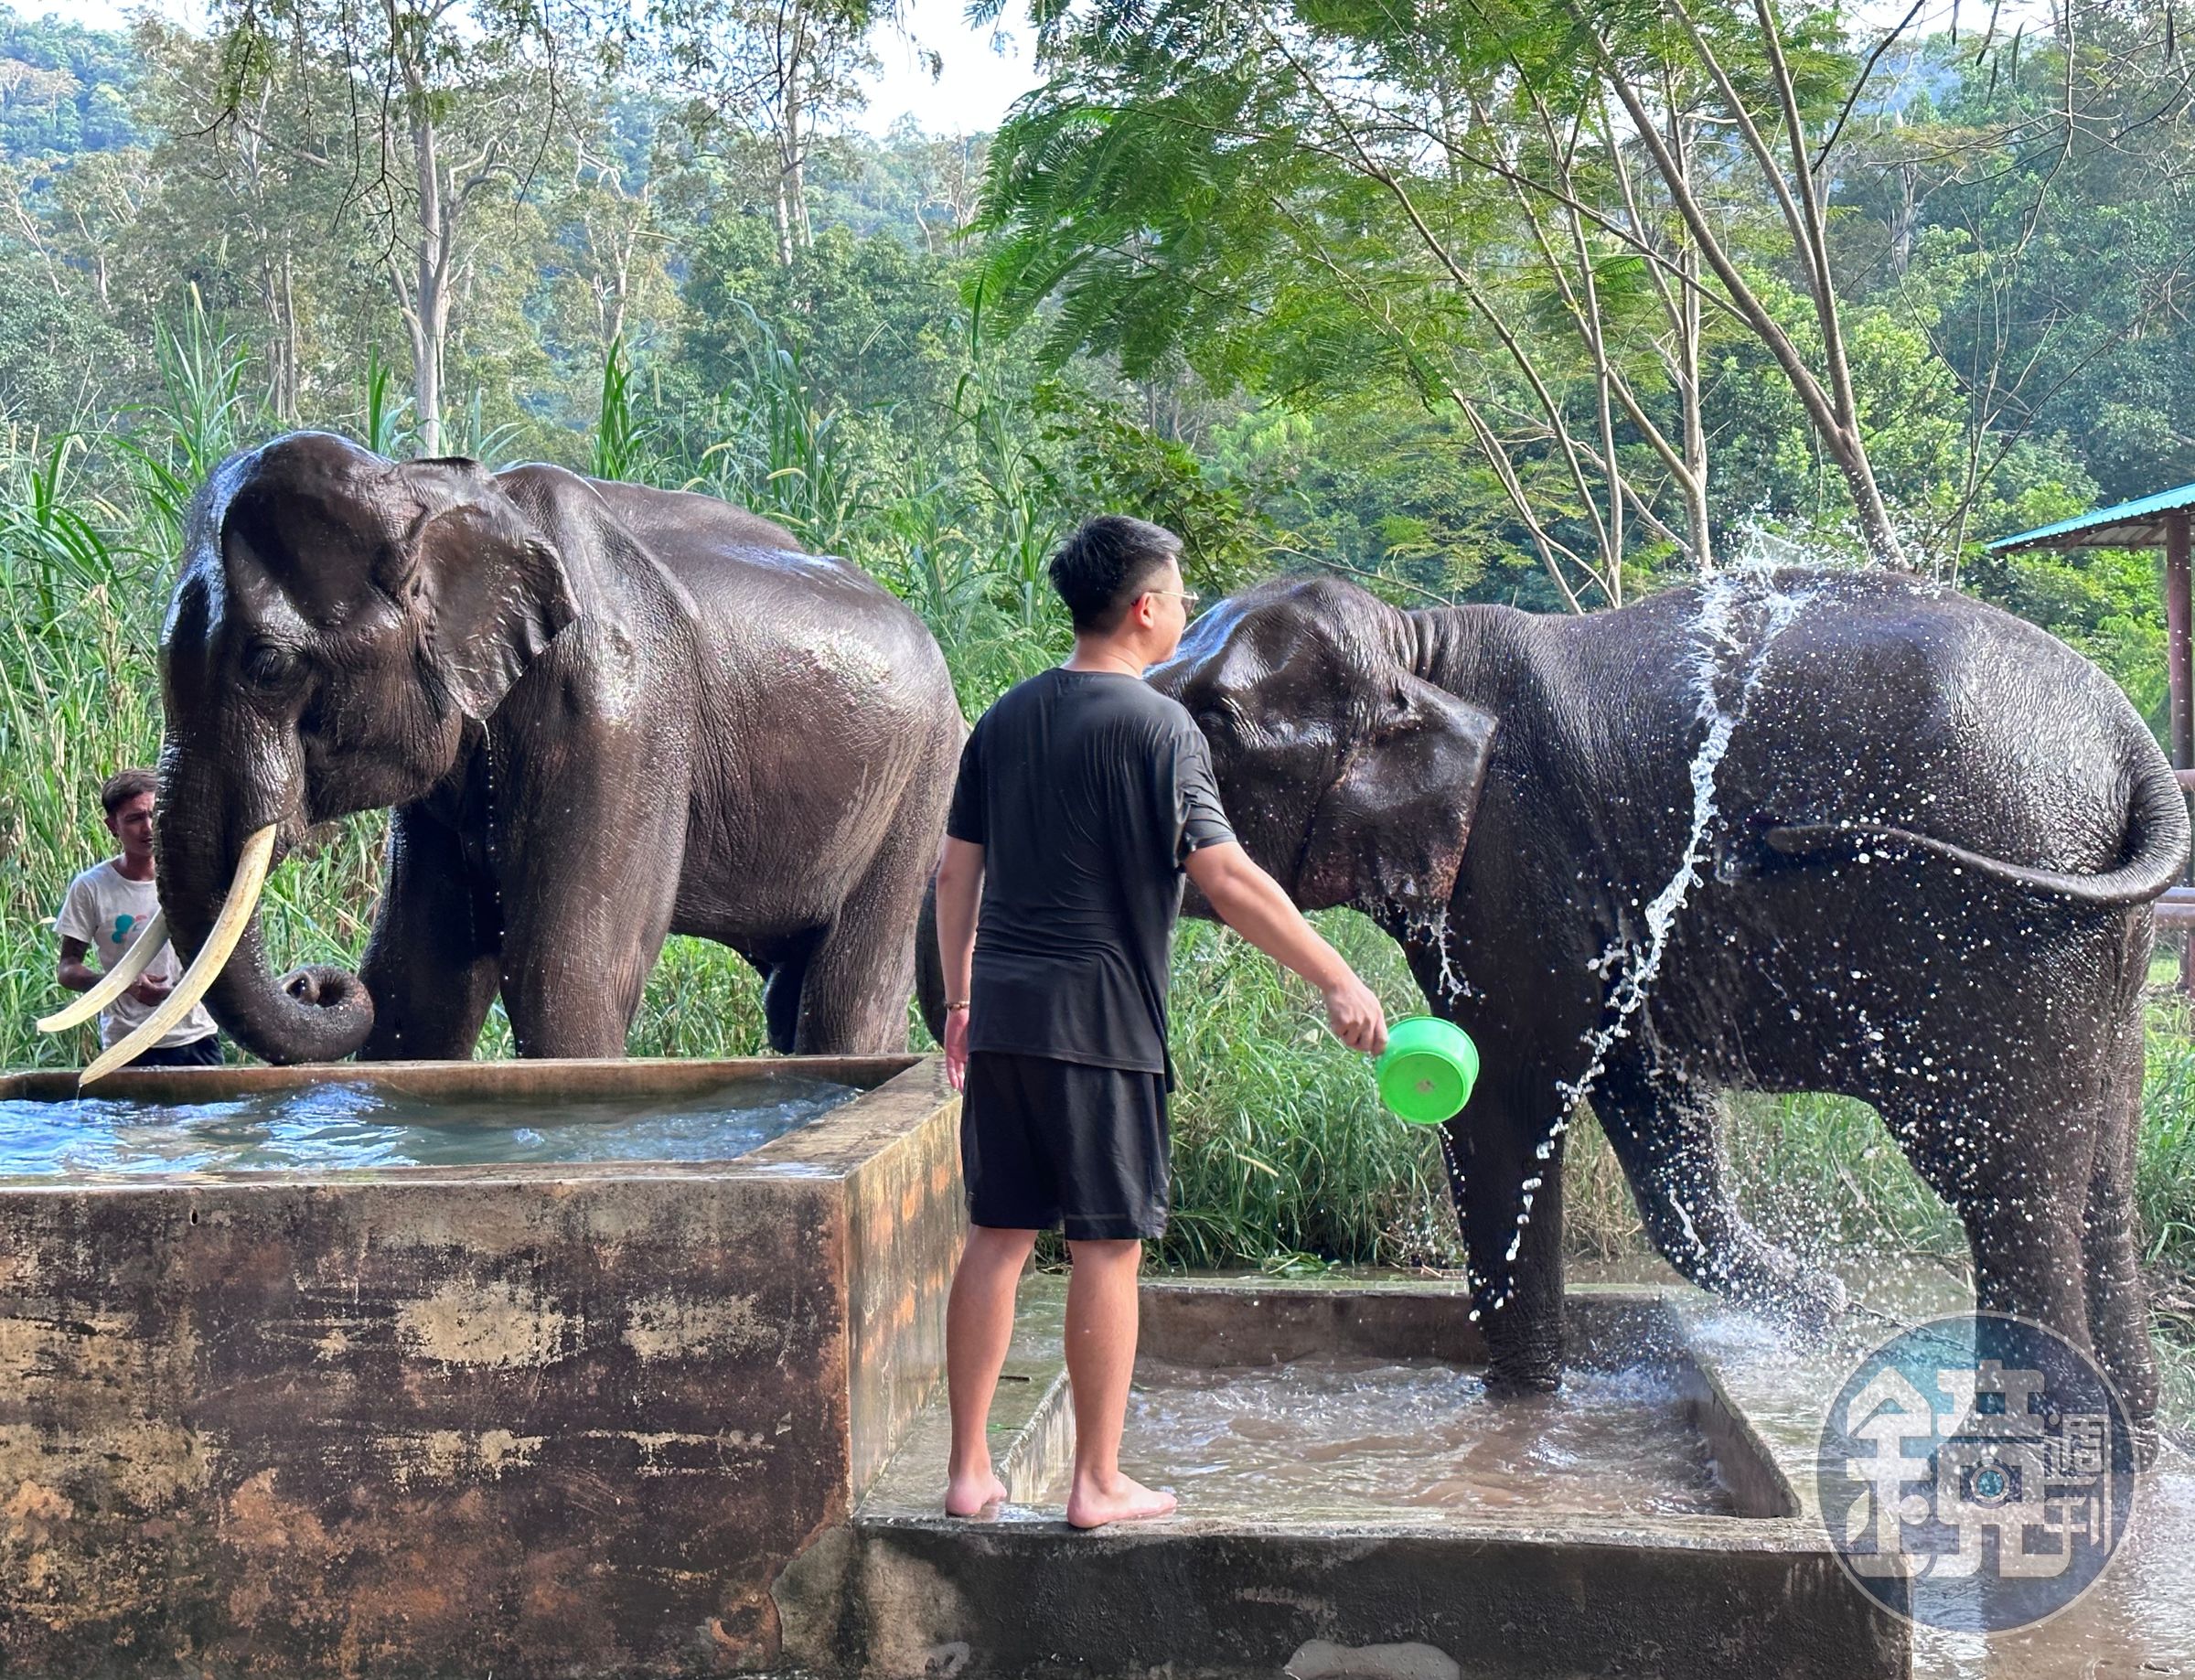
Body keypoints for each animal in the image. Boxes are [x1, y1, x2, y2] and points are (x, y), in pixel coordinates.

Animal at [139, 431, 961, 1067]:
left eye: (270, 666)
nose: (313, 981)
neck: (428, 486)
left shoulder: (616, 712)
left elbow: (564, 976)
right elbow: (416, 983)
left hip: (922, 783)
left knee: (846, 998)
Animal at [1150, 566, 2187, 1442]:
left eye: (1216, 718)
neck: (1418, 644)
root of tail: (2134, 747)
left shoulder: (1521, 860)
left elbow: (1505, 1108)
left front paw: (1521, 1410)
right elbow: (1658, 1127)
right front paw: (1829, 1313)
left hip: (1999, 921)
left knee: (2001, 1179)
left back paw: (2005, 1463)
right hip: (2098, 936)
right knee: (2102, 1172)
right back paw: (2128, 1436)